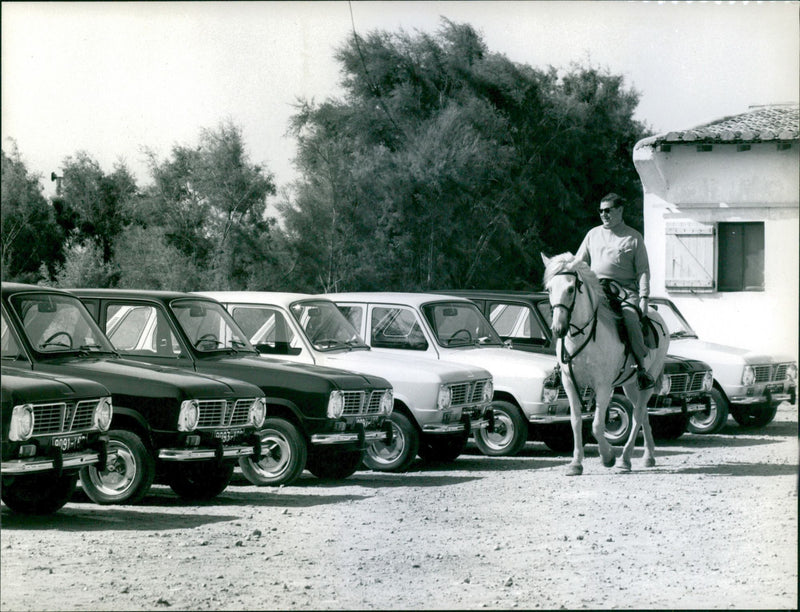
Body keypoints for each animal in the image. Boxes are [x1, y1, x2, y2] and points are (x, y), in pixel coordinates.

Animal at [544, 251, 668, 476]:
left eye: (570, 288)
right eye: (549, 289)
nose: (558, 329)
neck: (582, 337)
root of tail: (656, 316)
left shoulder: (603, 386)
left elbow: (596, 425)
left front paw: (608, 457)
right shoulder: (569, 383)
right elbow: (576, 421)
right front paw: (576, 463)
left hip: (648, 381)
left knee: (638, 414)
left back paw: (625, 460)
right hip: (630, 384)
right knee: (643, 413)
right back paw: (648, 456)